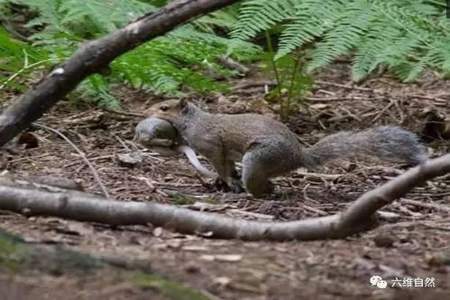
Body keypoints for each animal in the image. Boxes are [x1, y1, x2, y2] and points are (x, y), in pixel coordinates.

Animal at [142, 99, 428, 197]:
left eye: (164, 107)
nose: (145, 111)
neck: (194, 121)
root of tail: (298, 157)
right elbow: (228, 168)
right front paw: (224, 182)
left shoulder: (212, 146)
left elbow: (221, 165)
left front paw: (227, 182)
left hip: (260, 157)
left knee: (258, 184)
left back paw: (256, 193)